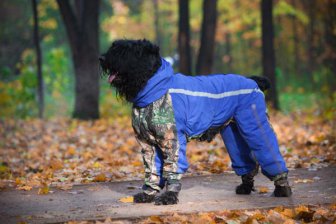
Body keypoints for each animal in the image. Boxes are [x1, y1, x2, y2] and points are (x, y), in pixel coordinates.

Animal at [99, 39, 292, 205]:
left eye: (126, 51)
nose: (102, 58)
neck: (152, 89)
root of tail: (253, 81)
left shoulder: (172, 141)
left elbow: (172, 169)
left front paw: (168, 197)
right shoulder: (148, 144)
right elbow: (152, 170)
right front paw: (148, 193)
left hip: (254, 127)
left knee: (270, 155)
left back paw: (282, 188)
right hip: (234, 134)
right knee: (247, 164)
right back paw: (245, 187)